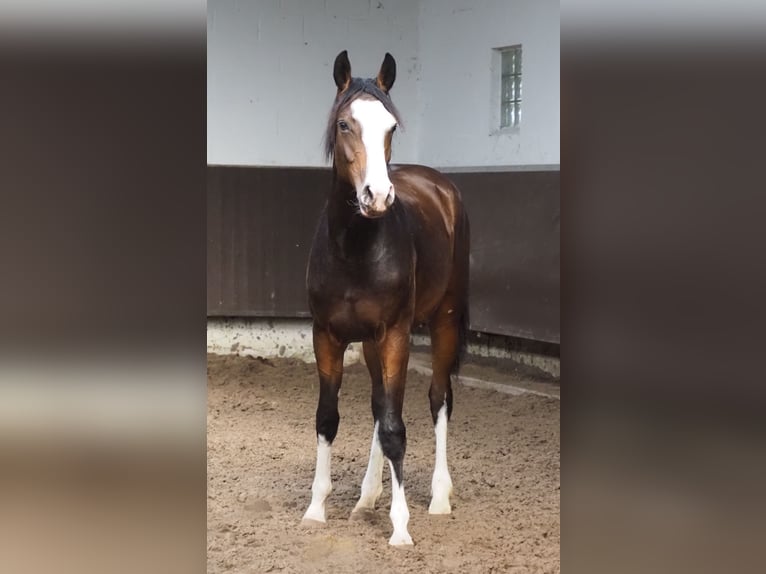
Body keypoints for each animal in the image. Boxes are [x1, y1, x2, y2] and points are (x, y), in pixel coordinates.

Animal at [304, 50, 472, 548]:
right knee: (381, 404)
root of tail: (441, 188)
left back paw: (439, 497)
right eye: (345, 124)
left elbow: (398, 427)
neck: (353, 249)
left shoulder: (396, 333)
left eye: (391, 127)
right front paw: (316, 509)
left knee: (439, 398)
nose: (377, 196)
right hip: (372, 342)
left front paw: (400, 527)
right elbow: (330, 418)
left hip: (443, 321)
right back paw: (366, 497)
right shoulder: (328, 336)